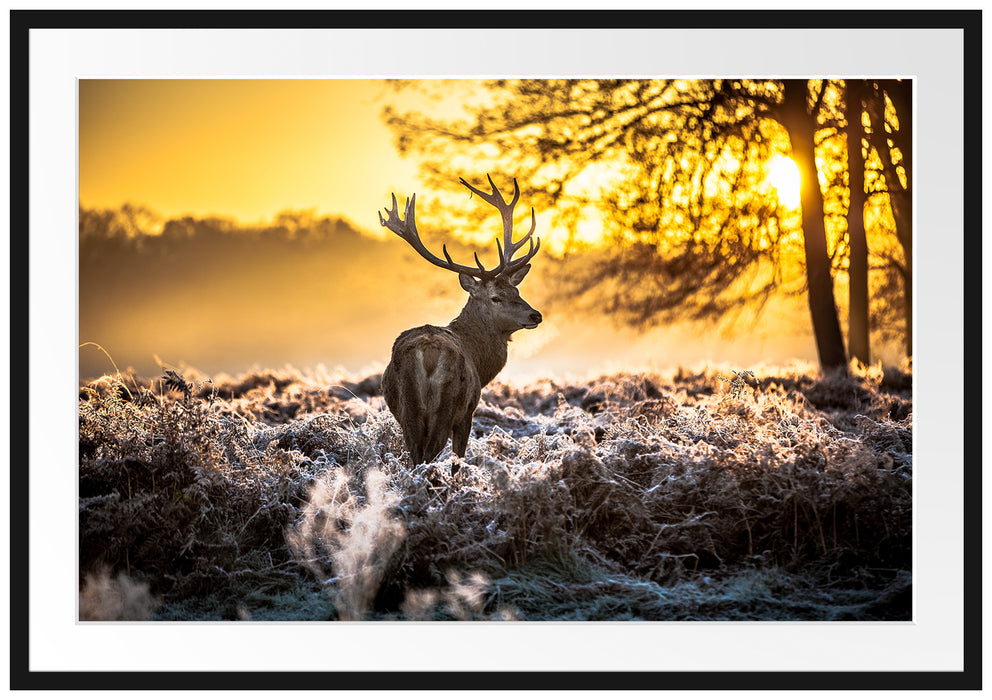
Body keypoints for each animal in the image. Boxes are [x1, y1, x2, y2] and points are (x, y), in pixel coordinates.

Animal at [379, 175, 542, 473]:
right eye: (496, 297)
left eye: (517, 291)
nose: (535, 315)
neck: (479, 360)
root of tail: (428, 353)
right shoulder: (468, 411)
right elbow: (459, 460)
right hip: (447, 405)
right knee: (430, 454)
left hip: (408, 409)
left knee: (415, 456)